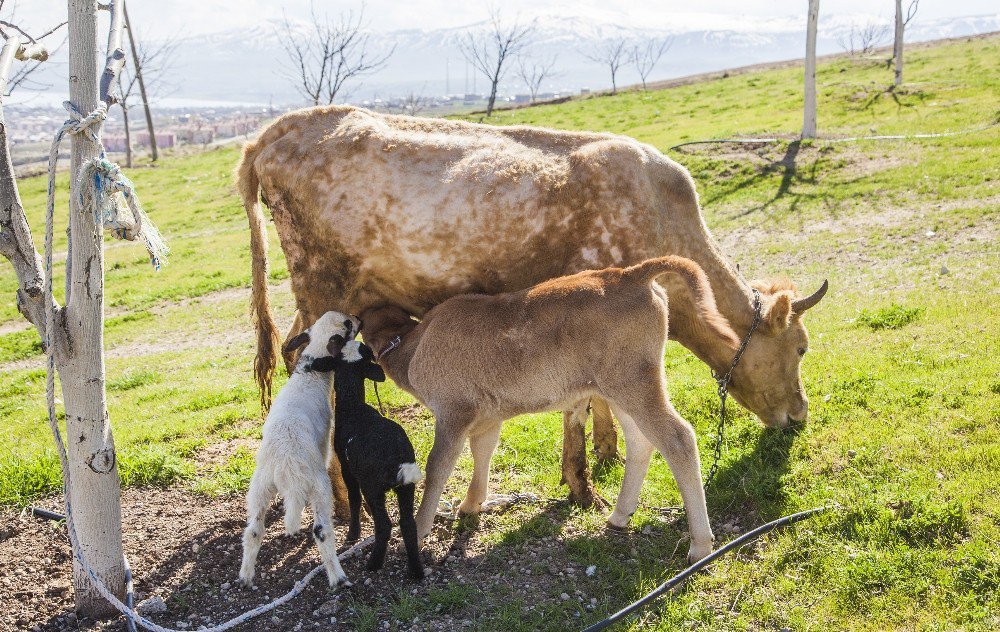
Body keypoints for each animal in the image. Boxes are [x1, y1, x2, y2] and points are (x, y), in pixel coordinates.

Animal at [236, 105, 828, 512]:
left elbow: (596, 397)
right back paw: (337, 498)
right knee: (310, 369)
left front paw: (607, 453)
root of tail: (279, 128)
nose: (799, 417)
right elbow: (578, 404)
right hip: (321, 283)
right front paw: (581, 483)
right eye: (801, 347)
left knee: (291, 349)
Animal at [240, 312, 362, 588]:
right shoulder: (324, 447)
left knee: (253, 531)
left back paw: (245, 577)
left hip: (260, 486)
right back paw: (338, 578)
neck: (309, 376)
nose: (359, 318)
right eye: (347, 325)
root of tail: (286, 465)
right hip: (318, 484)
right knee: (322, 531)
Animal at [328, 338, 422, 580]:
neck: (352, 405)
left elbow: (353, 497)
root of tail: (398, 458)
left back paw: (374, 563)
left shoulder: (347, 467)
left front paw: (353, 534)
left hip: (374, 486)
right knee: (408, 523)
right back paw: (416, 570)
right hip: (407, 486)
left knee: (385, 525)